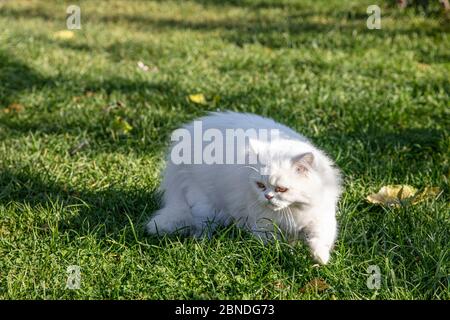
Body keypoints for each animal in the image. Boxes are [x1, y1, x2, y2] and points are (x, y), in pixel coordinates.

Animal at [147, 111, 342, 264]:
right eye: (260, 185)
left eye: (281, 189)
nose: (268, 197)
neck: (292, 211)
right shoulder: (264, 225)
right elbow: (272, 244)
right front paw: (284, 254)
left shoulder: (320, 219)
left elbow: (320, 239)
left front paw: (319, 258)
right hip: (206, 205)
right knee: (201, 224)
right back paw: (201, 242)